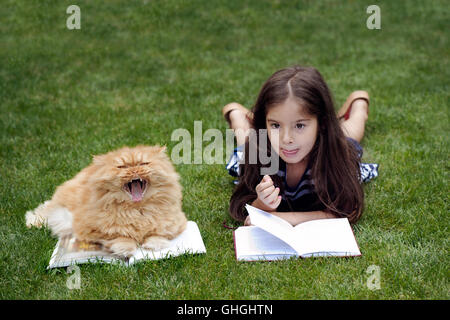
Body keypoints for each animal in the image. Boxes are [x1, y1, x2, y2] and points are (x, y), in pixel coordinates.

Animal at [25, 146, 187, 256]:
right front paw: (126, 248)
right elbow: (120, 236)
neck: (137, 210)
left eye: (144, 164)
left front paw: (154, 245)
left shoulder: (177, 223)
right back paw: (33, 222)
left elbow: (158, 233)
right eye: (122, 167)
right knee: (45, 209)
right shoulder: (90, 231)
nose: (134, 170)